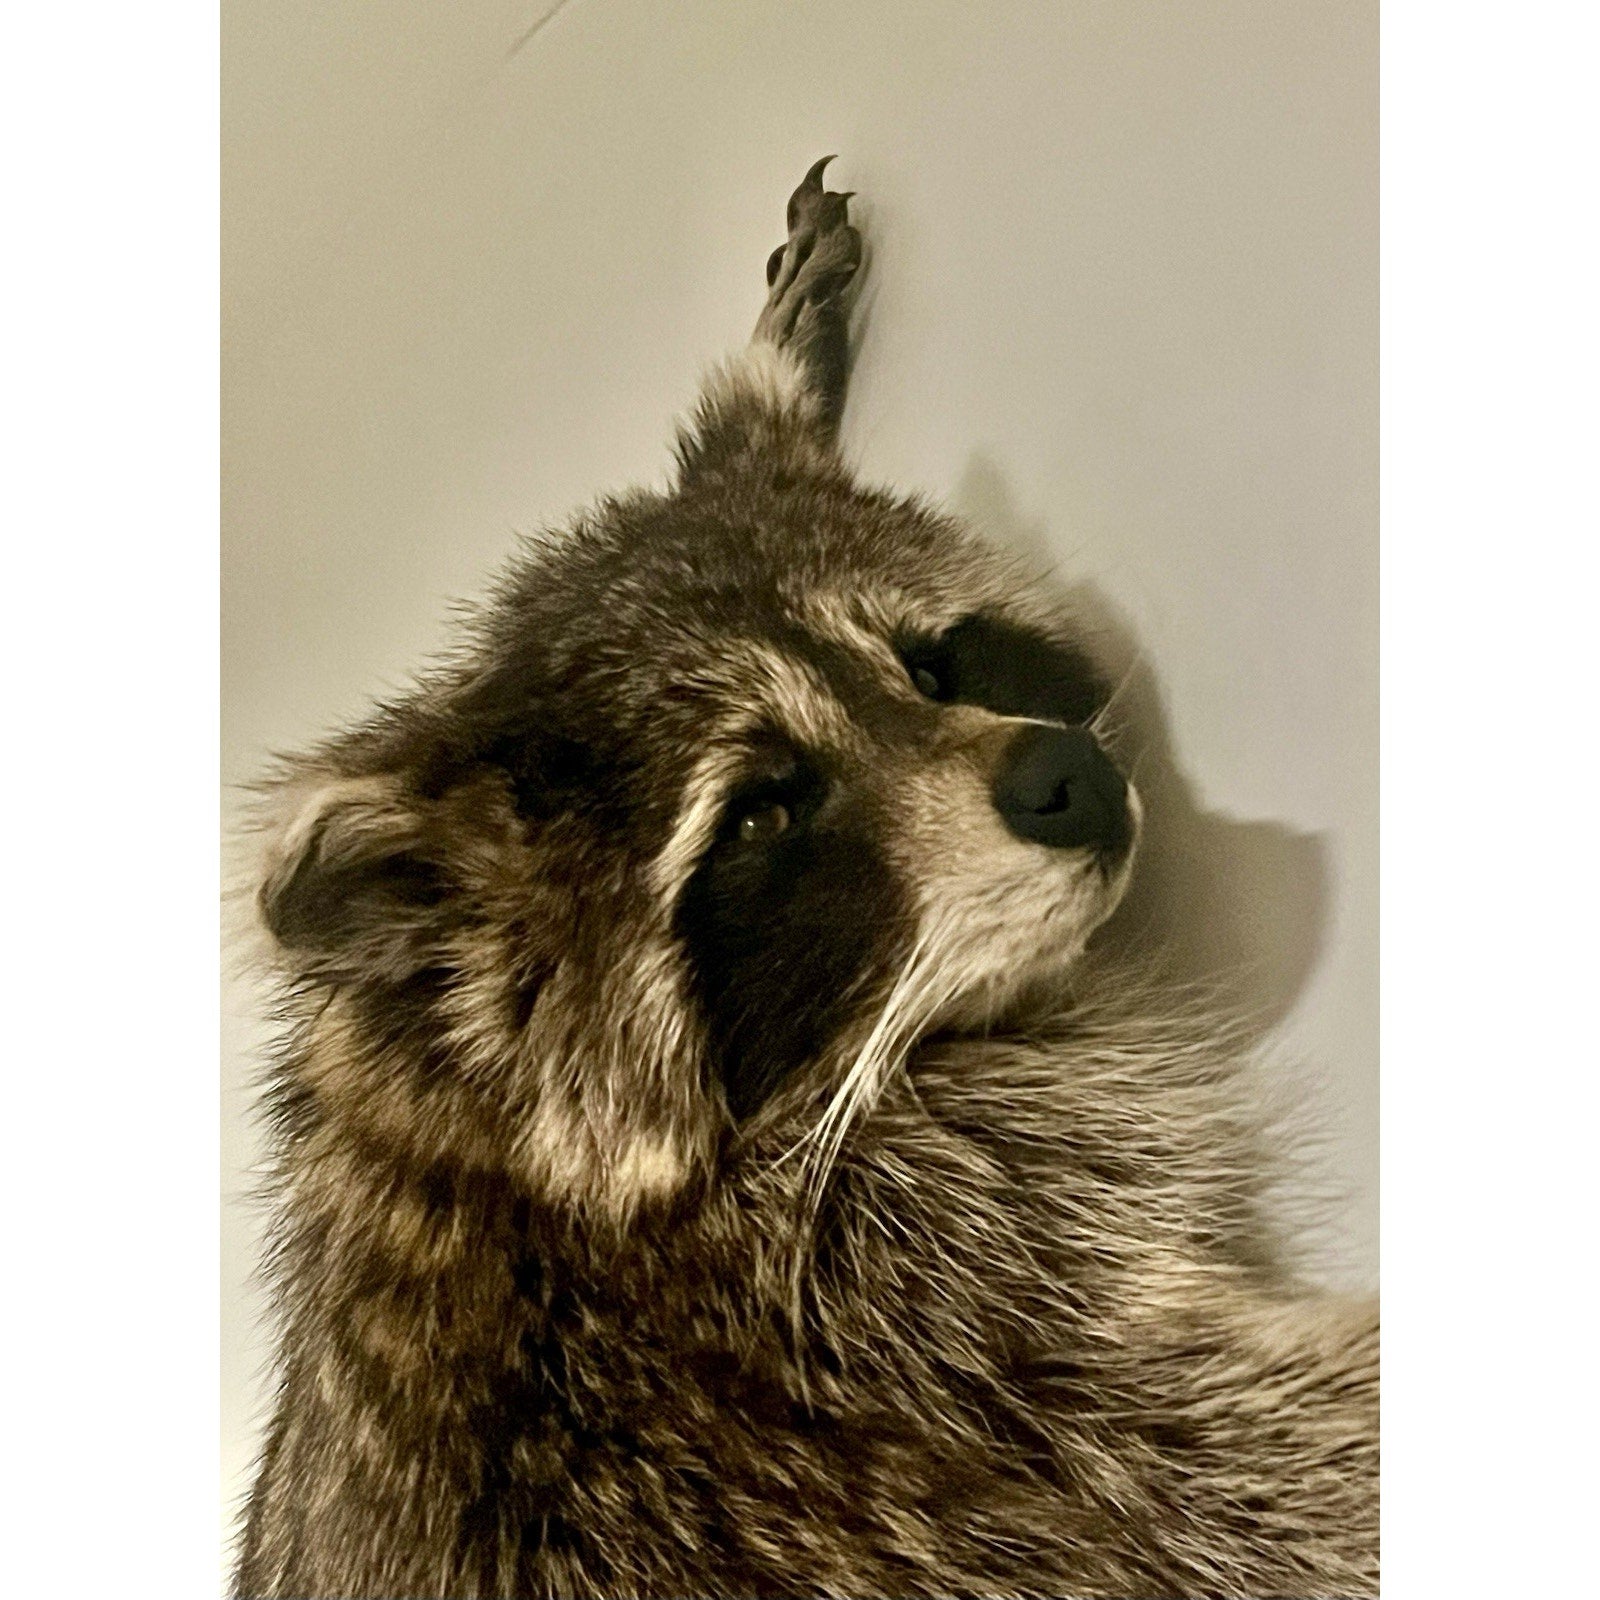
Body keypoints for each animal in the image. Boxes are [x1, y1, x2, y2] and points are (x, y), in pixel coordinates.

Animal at [233, 158, 1378, 1599]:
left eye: (937, 662)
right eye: (763, 814)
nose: (1067, 776)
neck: (492, 1147)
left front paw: (777, 366)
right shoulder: (926, 1292)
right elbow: (1253, 1462)